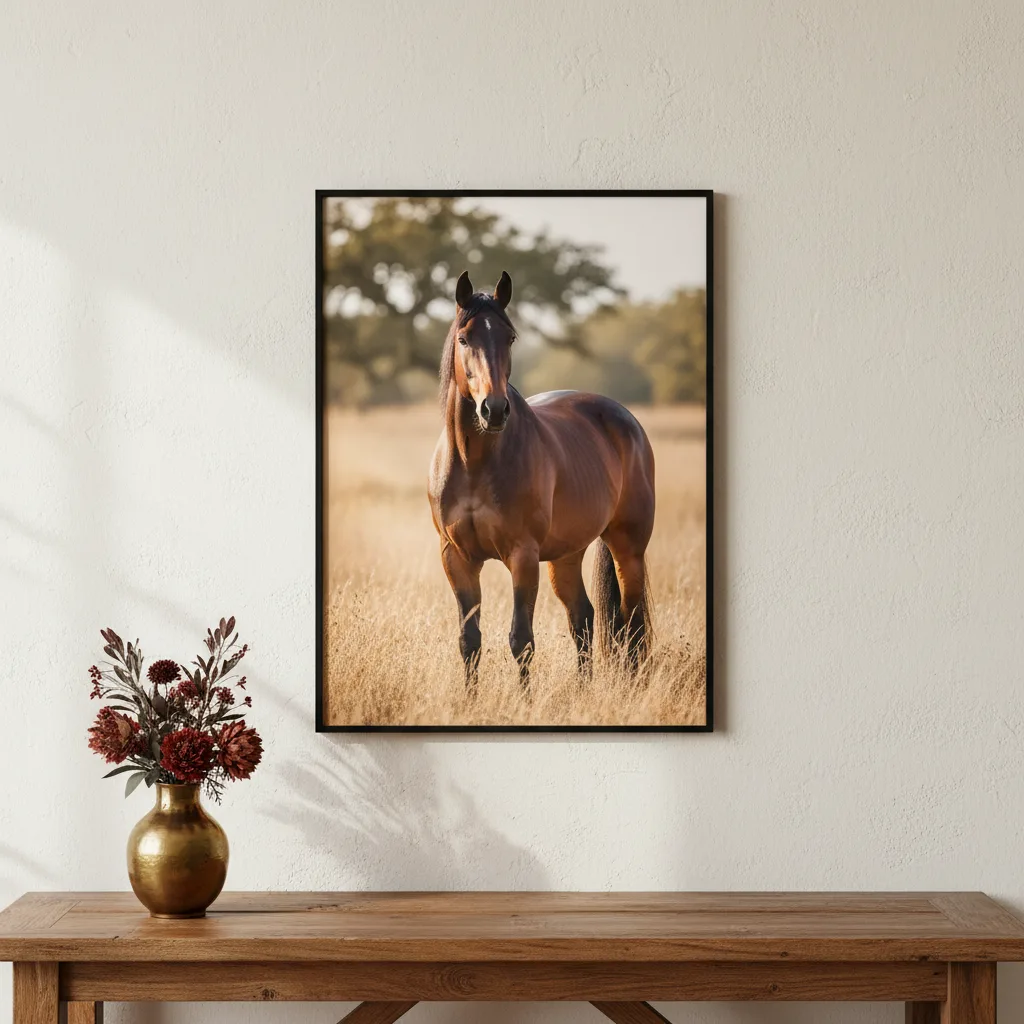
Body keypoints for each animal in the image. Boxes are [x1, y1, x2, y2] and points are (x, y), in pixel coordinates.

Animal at [428, 270, 656, 691]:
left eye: (510, 337)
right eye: (464, 338)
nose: (494, 410)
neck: (475, 464)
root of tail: (624, 418)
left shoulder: (523, 556)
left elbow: (521, 640)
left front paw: (524, 700)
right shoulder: (457, 558)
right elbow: (469, 641)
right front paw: (469, 700)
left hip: (628, 549)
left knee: (631, 624)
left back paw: (633, 686)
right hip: (566, 556)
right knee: (583, 617)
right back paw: (583, 691)